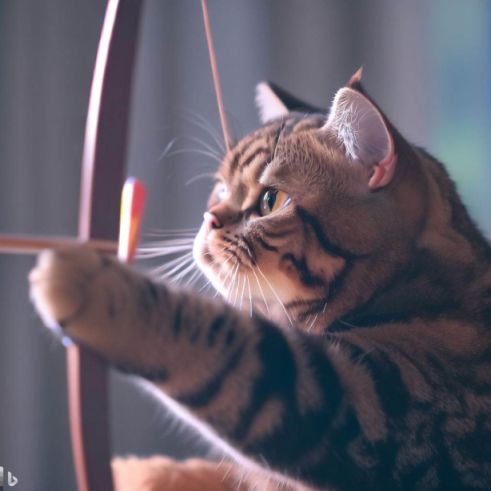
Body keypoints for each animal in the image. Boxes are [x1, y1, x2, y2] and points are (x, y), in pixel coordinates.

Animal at [29, 70, 491, 490]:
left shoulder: (365, 407)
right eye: (220, 189)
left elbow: (220, 345)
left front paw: (97, 289)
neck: (412, 288)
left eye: (272, 200)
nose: (209, 218)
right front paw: (139, 470)